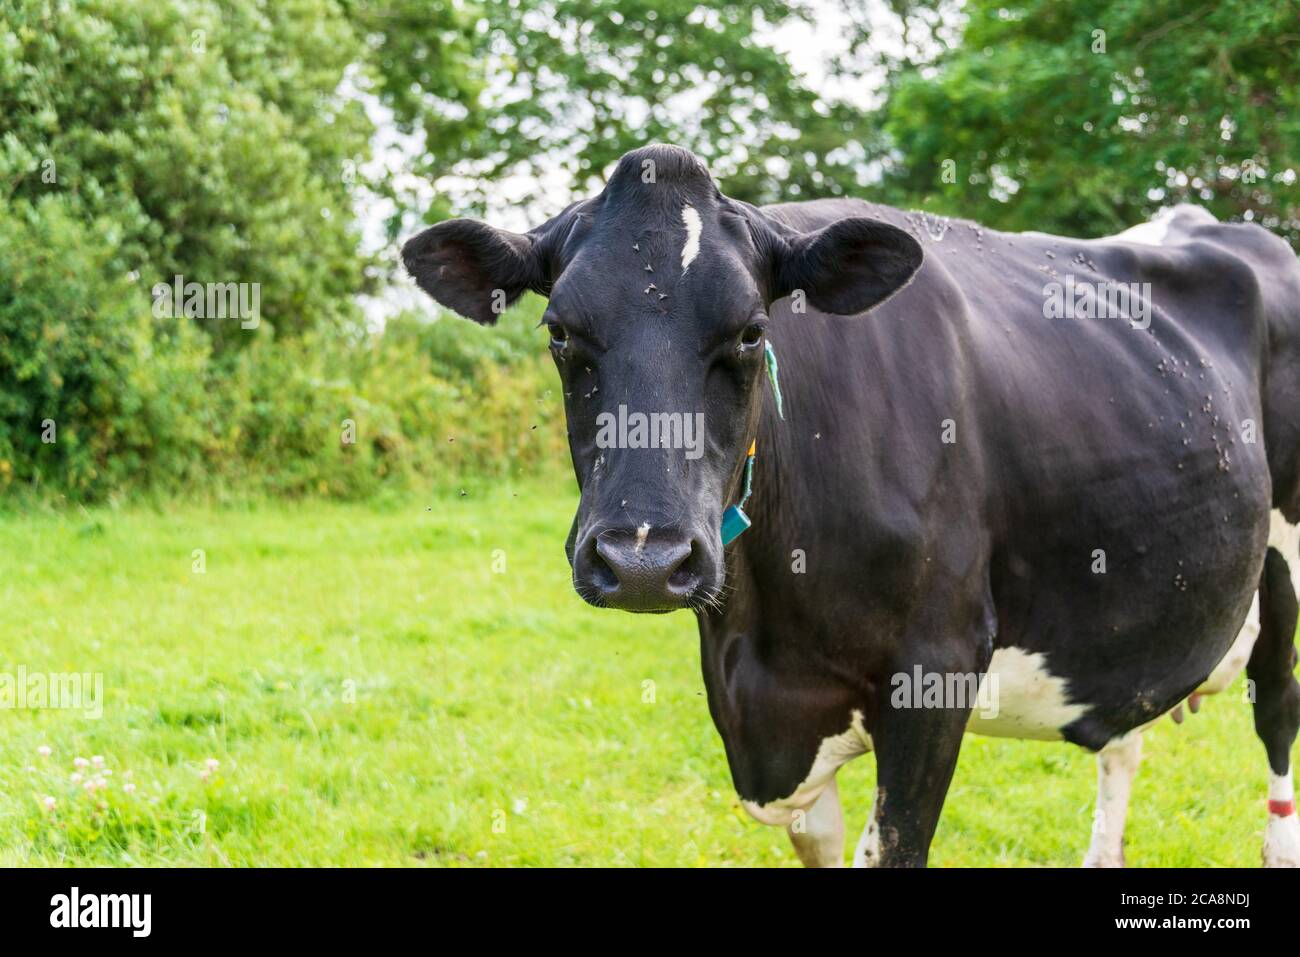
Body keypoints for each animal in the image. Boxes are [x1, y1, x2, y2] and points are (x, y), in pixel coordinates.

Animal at [410, 143, 1300, 868]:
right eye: (559, 331)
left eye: (751, 330)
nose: (642, 560)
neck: (759, 633)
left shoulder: (937, 666)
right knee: (1123, 739)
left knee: (1280, 711)